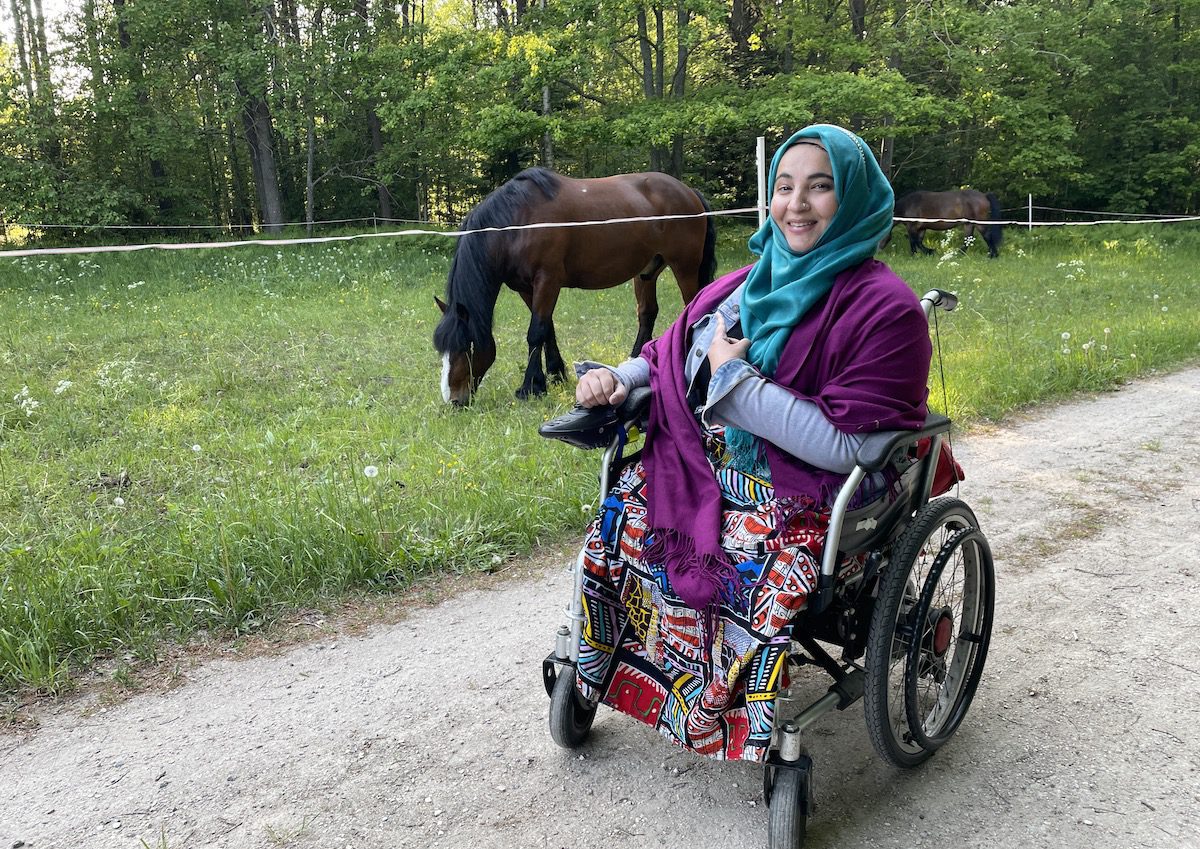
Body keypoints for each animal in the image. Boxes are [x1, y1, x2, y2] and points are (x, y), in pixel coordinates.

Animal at [432, 167, 710, 405]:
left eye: (466, 347)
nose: (453, 401)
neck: (519, 222)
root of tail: (689, 191)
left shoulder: (547, 280)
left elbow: (536, 332)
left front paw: (530, 387)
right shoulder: (525, 287)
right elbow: (547, 329)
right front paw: (554, 375)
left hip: (685, 267)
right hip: (646, 272)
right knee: (647, 313)